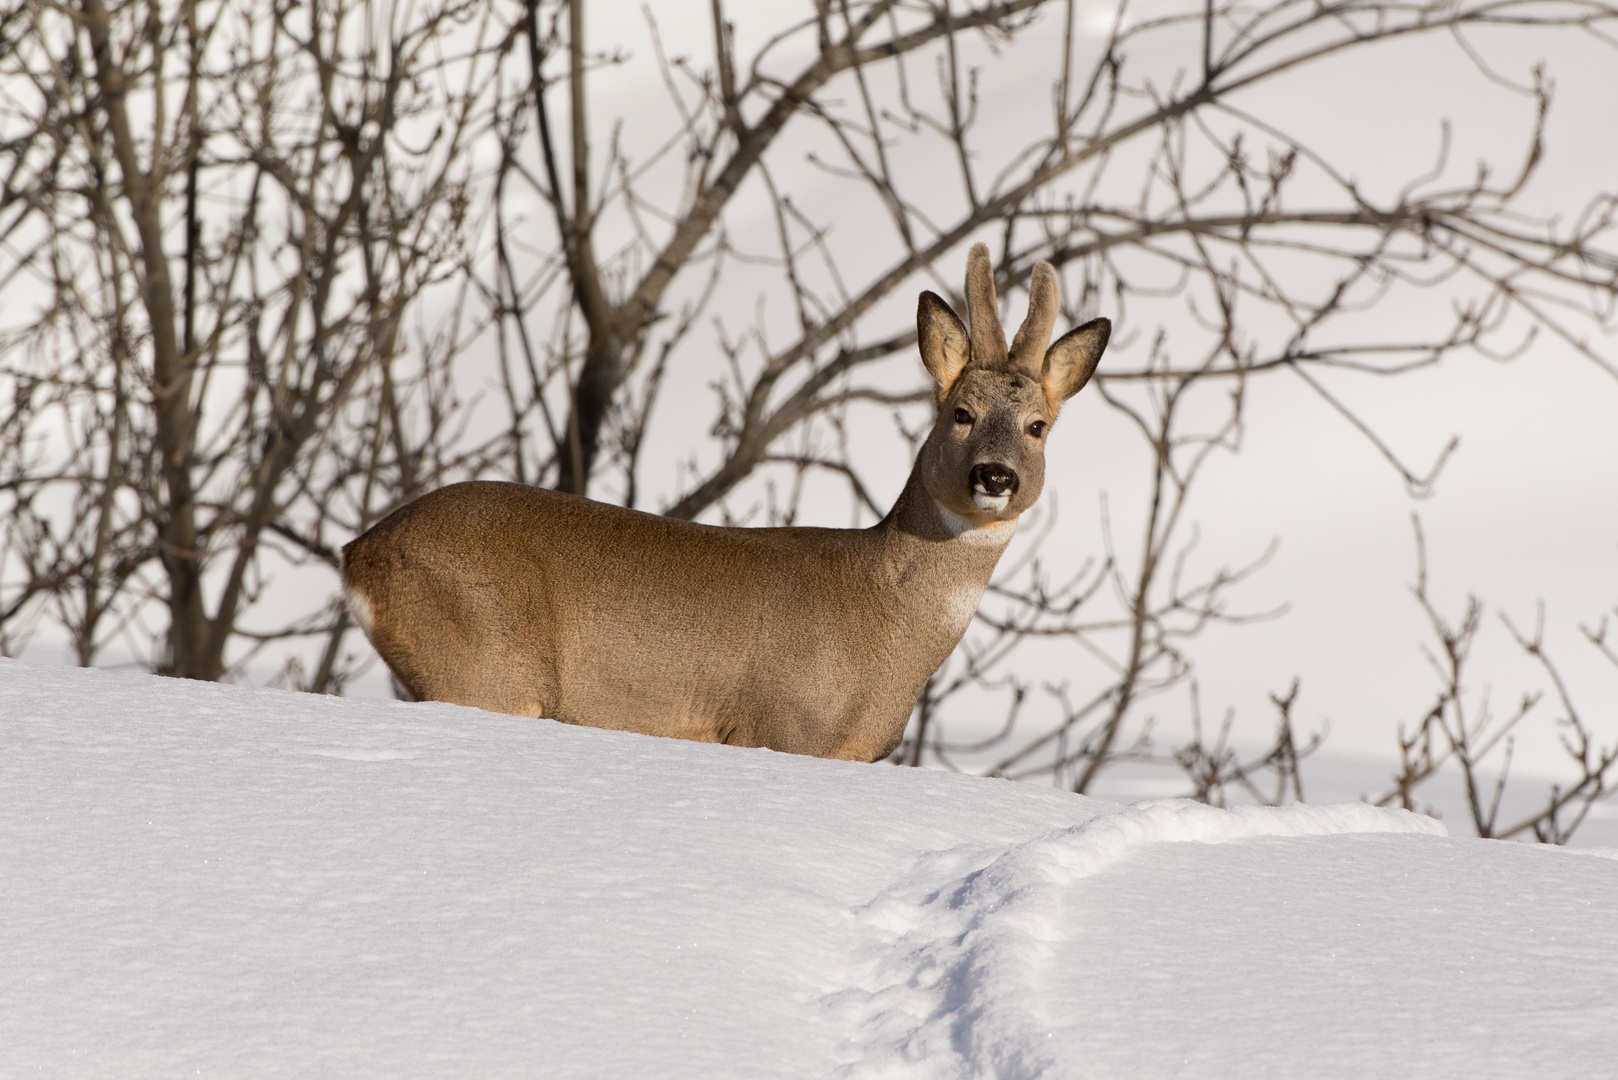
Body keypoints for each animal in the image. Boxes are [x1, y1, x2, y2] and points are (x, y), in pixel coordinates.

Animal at [344, 247, 1113, 761]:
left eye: (1037, 426)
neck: (881, 622)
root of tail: (361, 553)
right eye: (960, 412)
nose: (995, 475)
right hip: (485, 666)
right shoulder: (776, 725)